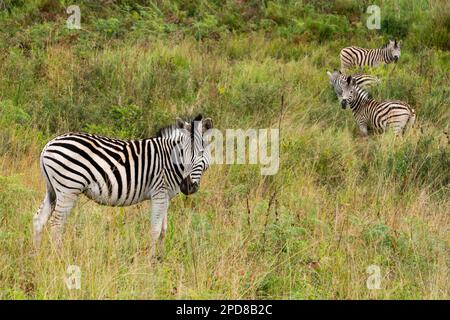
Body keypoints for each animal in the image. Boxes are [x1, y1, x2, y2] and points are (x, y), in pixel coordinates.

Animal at [33, 115, 213, 258]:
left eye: (201, 152)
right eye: (183, 152)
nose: (187, 186)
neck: (170, 161)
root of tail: (48, 145)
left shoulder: (166, 196)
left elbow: (163, 230)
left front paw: (161, 258)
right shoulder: (159, 193)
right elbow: (155, 230)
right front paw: (151, 263)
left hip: (53, 190)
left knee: (39, 219)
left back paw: (36, 255)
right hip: (68, 189)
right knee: (56, 224)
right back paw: (60, 257)